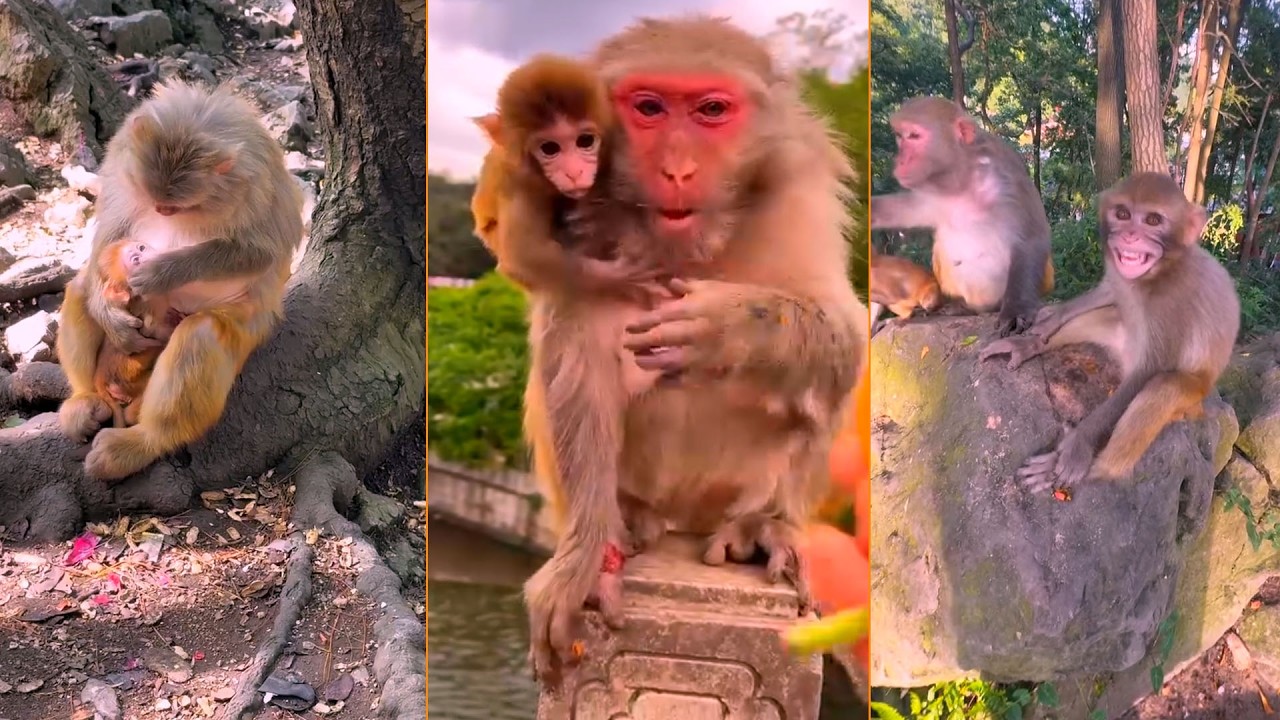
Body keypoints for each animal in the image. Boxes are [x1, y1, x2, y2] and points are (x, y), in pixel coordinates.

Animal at [92, 239, 179, 428]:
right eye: (136, 260)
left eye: (142, 247)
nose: (149, 257)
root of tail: (100, 374)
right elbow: (155, 331)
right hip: (127, 380)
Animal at [518, 16, 868, 688]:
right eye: (649, 108)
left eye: (711, 111)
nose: (678, 170)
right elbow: (579, 350)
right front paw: (582, 562)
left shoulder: (802, 187)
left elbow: (845, 331)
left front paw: (725, 325)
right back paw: (620, 528)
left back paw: (765, 528)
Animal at [871, 96, 1054, 337]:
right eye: (901, 137)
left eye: (915, 136)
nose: (900, 161)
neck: (962, 178)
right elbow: (909, 210)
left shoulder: (1007, 177)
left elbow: (1031, 238)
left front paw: (1016, 310)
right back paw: (961, 307)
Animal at [979, 172, 1240, 492]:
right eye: (1123, 214)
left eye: (1153, 220)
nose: (1129, 236)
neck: (1156, 274)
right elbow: (1108, 292)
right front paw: (1052, 318)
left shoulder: (1176, 300)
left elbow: (1148, 372)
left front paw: (1077, 446)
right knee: (1110, 317)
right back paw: (1028, 347)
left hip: (1193, 400)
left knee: (1163, 387)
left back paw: (1089, 470)